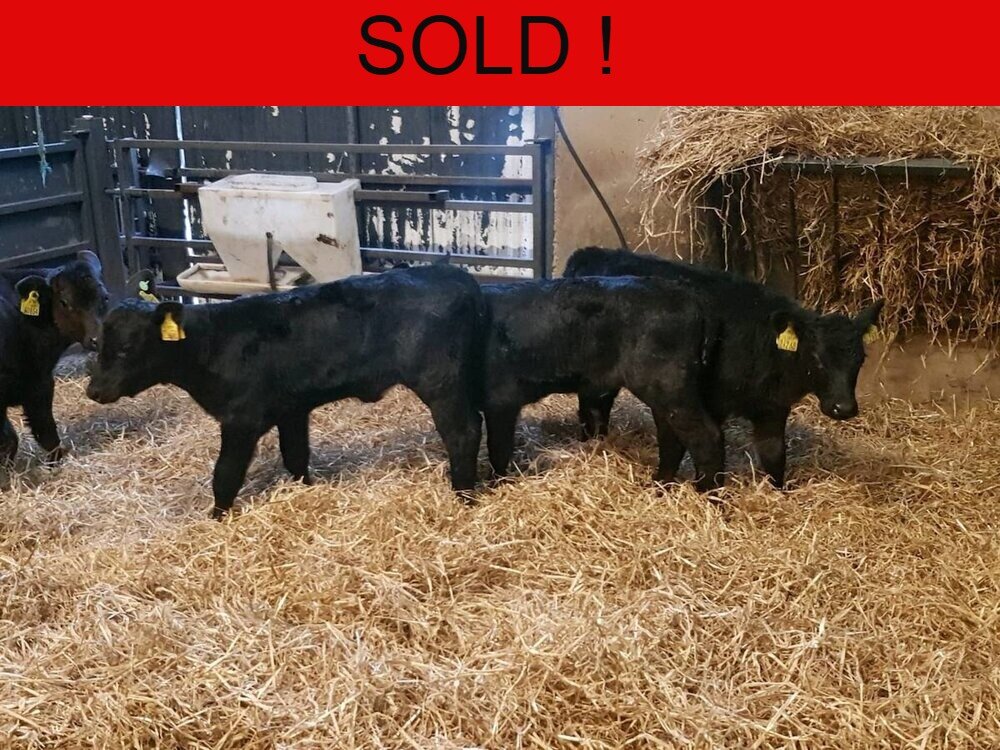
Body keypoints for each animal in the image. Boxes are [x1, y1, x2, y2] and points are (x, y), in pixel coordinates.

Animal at [85, 264, 485, 519]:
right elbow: (295, 456)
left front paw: (216, 518)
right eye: (98, 342)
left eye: (126, 349)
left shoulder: (241, 419)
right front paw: (305, 490)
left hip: (440, 381)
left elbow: (225, 474)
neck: (211, 344)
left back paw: (463, 497)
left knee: (463, 433)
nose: (93, 390)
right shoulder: (292, 409)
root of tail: (453, 274)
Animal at [481, 276, 724, 491]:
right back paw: (658, 487)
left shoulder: (502, 400)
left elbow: (498, 448)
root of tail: (689, 296)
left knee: (706, 435)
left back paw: (708, 495)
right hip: (664, 389)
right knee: (671, 436)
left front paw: (494, 486)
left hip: (666, 382)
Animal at [563, 247, 884, 488]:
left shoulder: (773, 407)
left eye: (861, 359)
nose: (843, 408)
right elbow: (692, 446)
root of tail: (589, 253)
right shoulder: (705, 402)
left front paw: (779, 492)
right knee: (592, 406)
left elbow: (773, 454)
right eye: (816, 358)